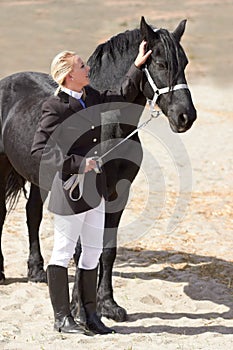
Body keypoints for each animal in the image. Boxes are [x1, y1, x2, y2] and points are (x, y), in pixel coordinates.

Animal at [0, 17, 197, 322]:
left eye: (185, 63)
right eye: (161, 63)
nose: (186, 117)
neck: (108, 123)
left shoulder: (119, 194)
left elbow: (107, 249)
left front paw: (108, 305)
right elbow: (82, 250)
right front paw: (78, 309)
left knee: (33, 213)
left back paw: (36, 270)